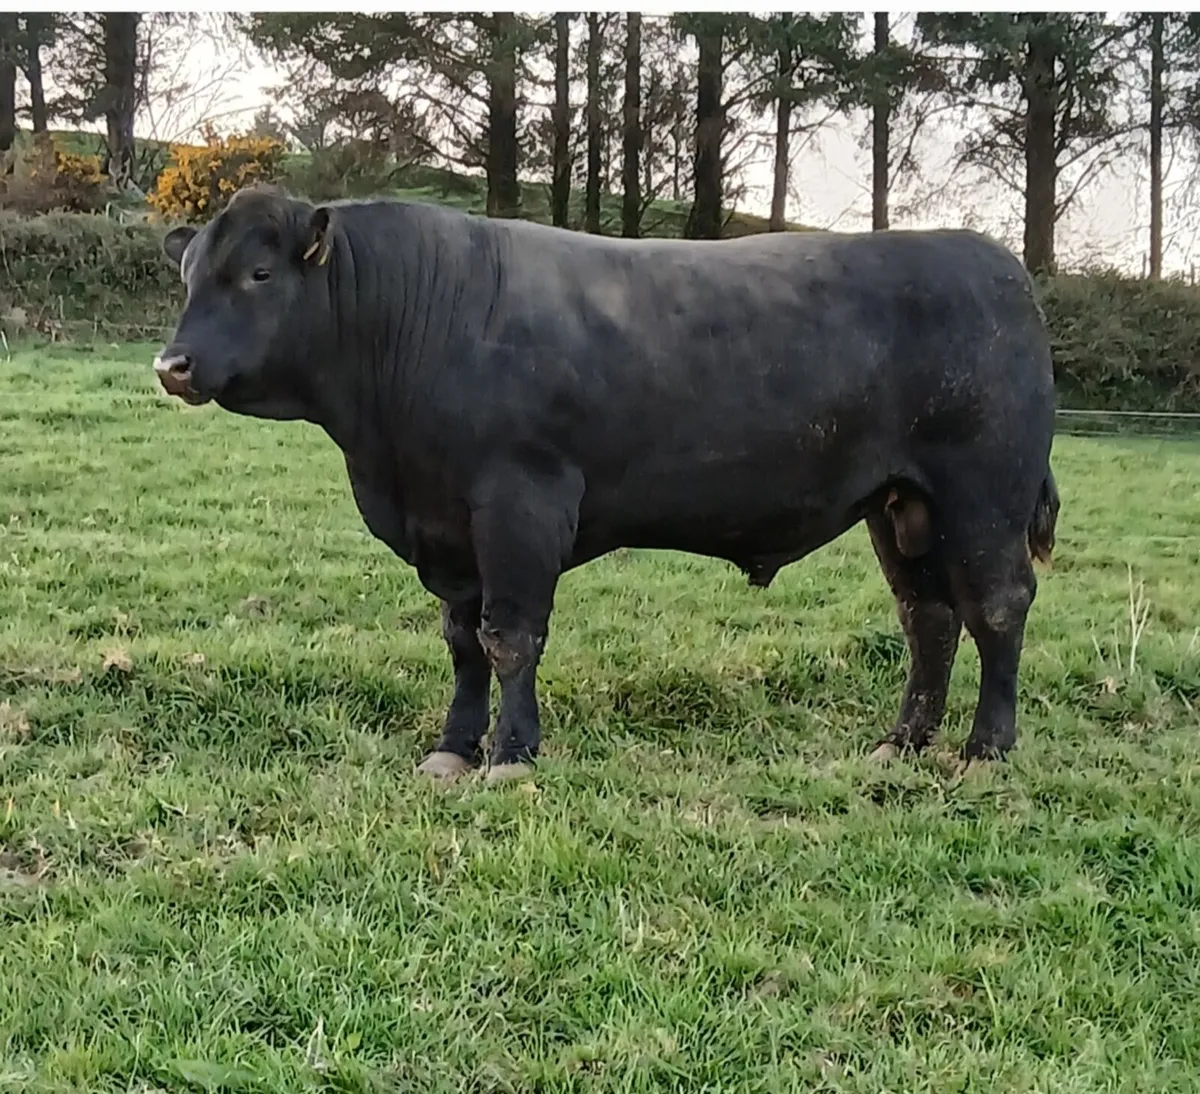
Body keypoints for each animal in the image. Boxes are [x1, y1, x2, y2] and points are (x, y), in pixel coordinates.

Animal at [153, 186, 1060, 783]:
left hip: (984, 493)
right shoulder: (446, 530)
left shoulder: (520, 504)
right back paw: (900, 745)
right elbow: (462, 644)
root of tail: (995, 262)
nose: (172, 364)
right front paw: (452, 749)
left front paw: (512, 757)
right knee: (929, 619)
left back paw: (985, 751)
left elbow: (511, 638)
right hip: (903, 505)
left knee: (997, 607)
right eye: (188, 274)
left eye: (259, 274)